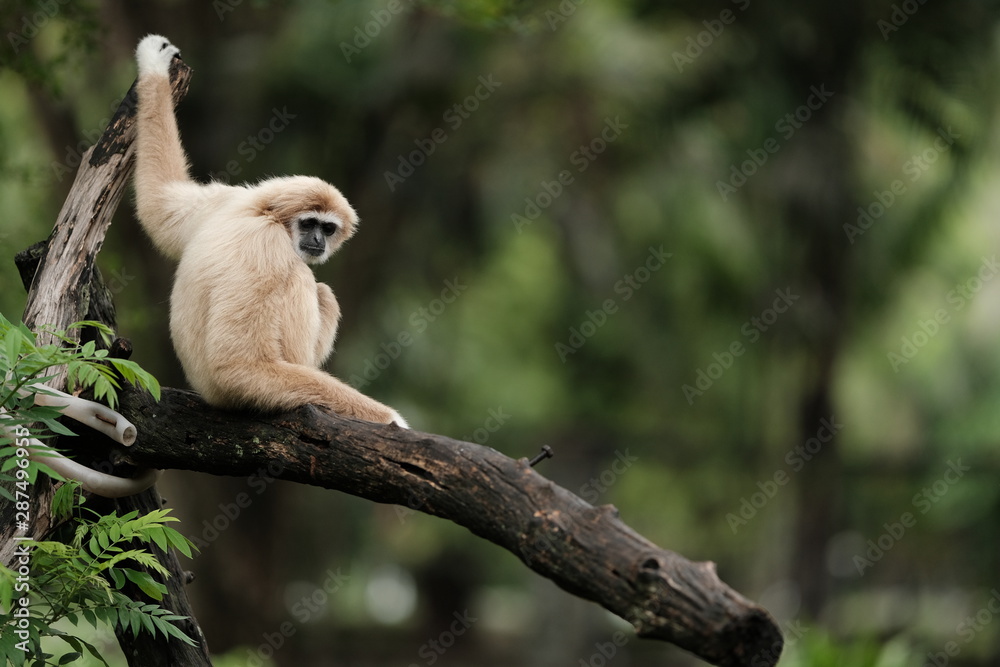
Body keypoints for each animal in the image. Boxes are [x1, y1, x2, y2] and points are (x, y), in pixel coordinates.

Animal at [133, 35, 408, 428]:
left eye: (328, 228)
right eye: (309, 224)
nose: (317, 240)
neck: (262, 213)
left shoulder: (226, 200)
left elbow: (159, 204)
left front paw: (153, 66)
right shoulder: (267, 248)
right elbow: (239, 365)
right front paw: (391, 418)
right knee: (314, 285)